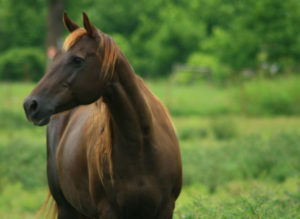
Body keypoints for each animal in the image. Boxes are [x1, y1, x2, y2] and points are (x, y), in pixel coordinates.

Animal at [23, 12, 182, 219]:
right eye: (55, 60)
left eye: (77, 60)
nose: (30, 105)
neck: (141, 149)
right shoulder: (108, 211)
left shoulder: (165, 209)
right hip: (67, 209)